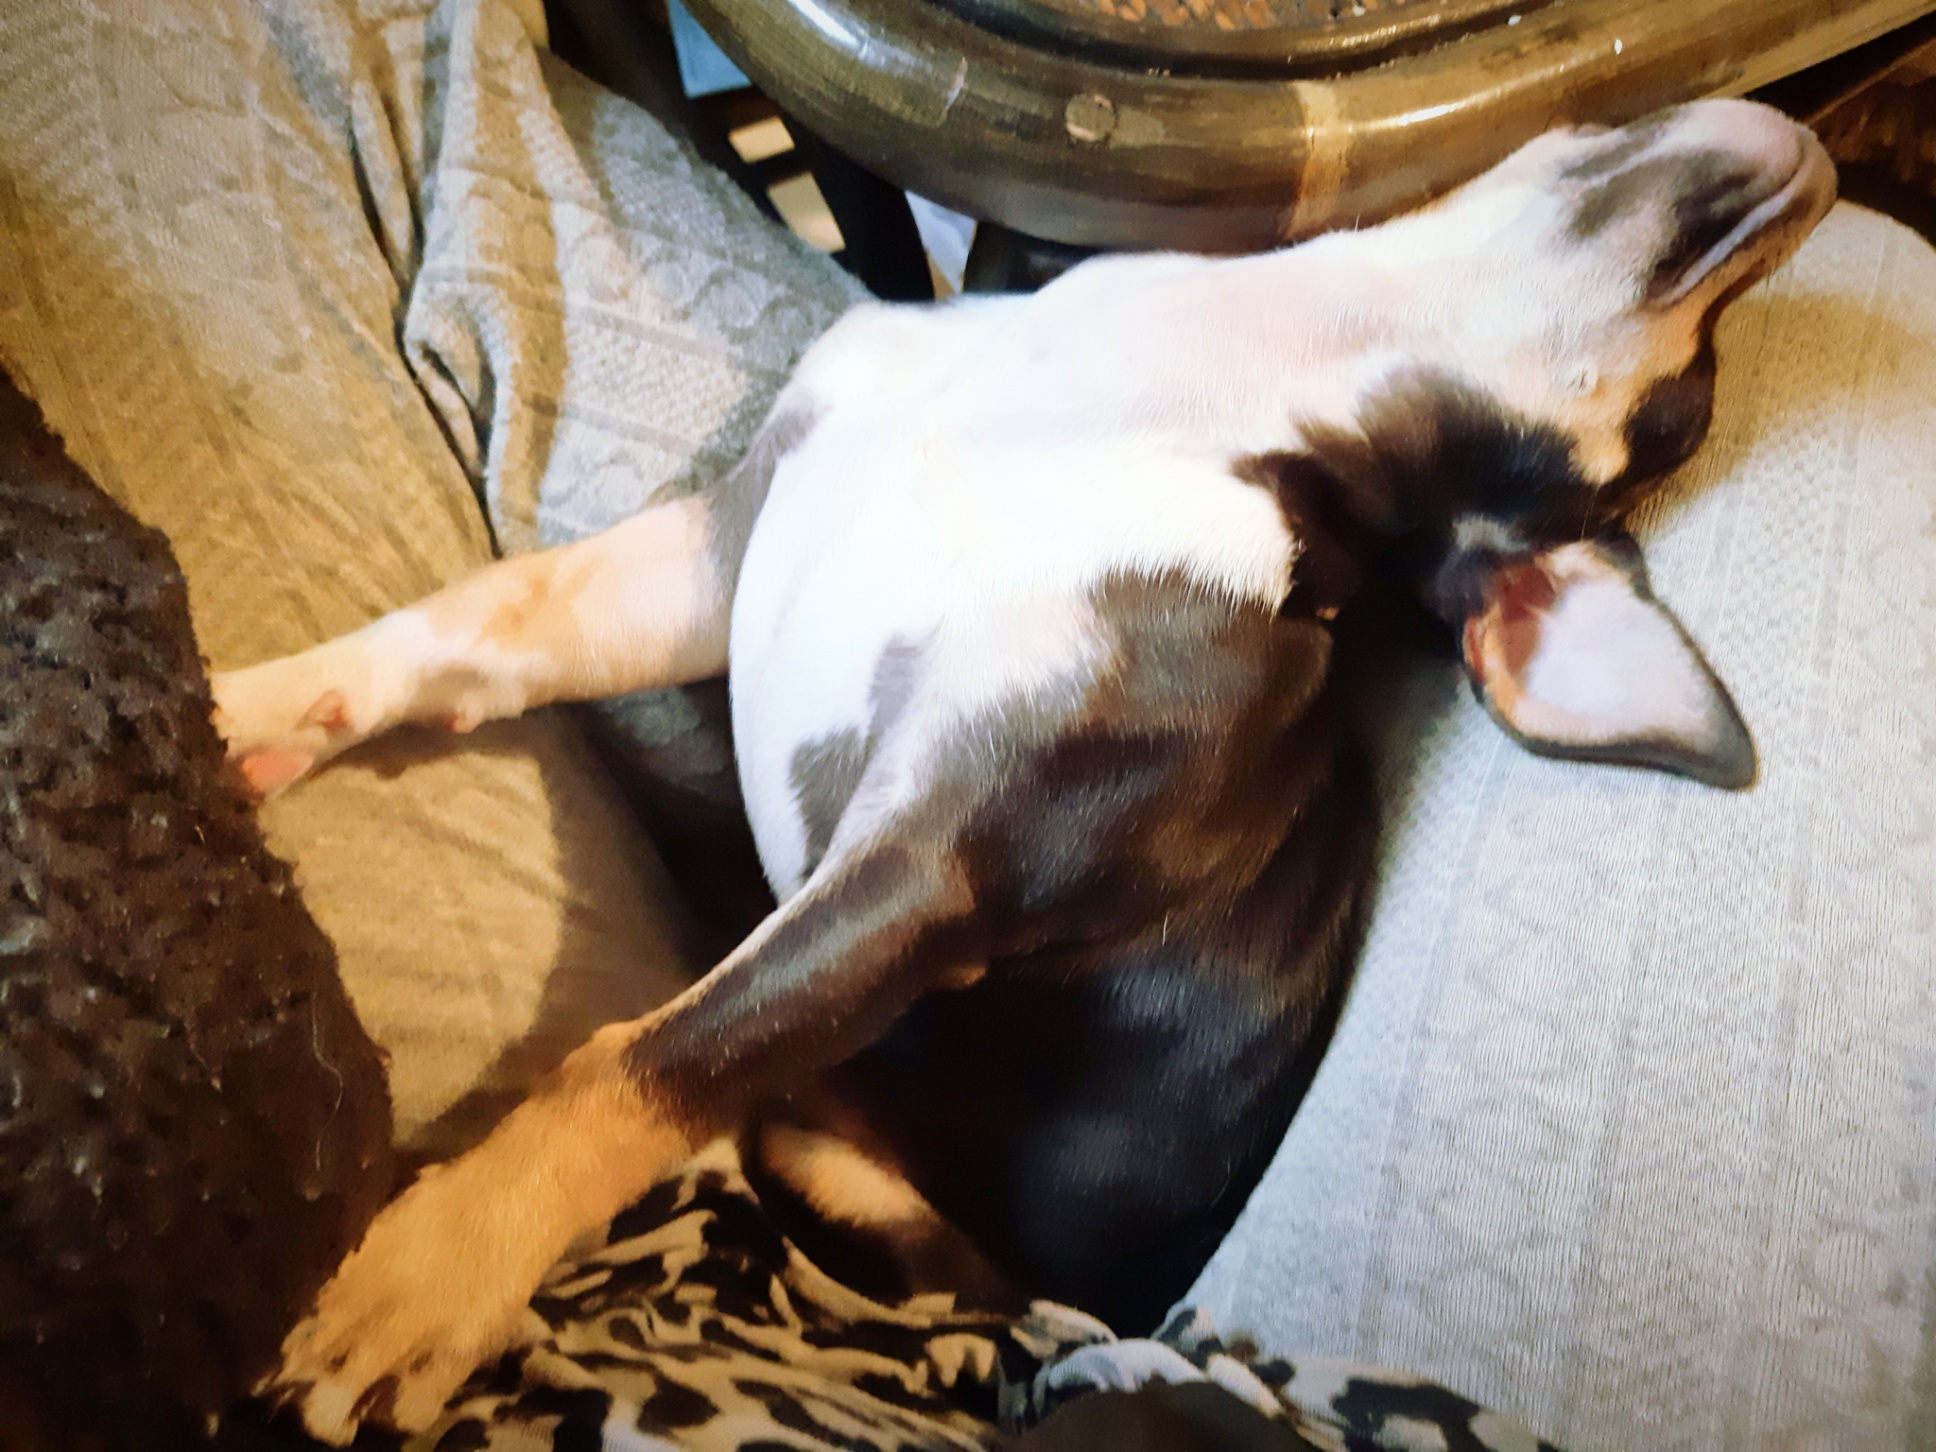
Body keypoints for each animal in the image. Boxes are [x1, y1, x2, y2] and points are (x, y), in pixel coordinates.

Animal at [212, 99, 1836, 1442]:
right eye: (1687, 410)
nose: (1819, 174)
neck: (1186, 380)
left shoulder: (941, 871)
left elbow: (660, 1055)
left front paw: (423, 1288)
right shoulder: (721, 548)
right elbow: (476, 624)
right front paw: (240, 705)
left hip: (873, 1176)